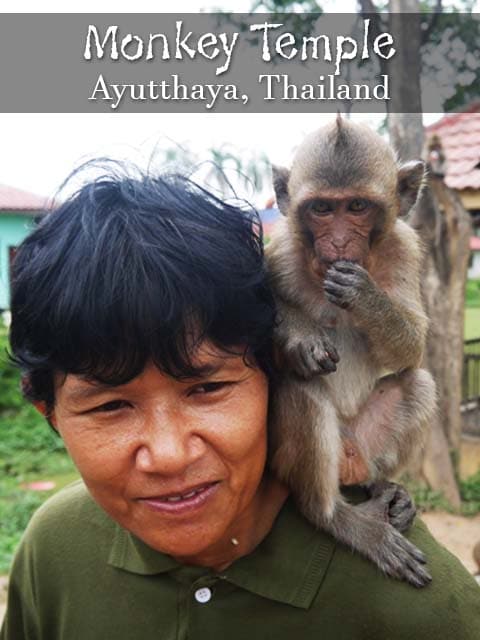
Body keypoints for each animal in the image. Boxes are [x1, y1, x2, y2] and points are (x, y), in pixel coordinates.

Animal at [266, 117, 438, 588]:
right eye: (323, 209)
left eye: (357, 206)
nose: (341, 242)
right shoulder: (280, 246)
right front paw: (303, 338)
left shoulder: (404, 249)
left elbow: (414, 346)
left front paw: (363, 295)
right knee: (304, 387)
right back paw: (335, 517)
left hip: (365, 438)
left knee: (419, 383)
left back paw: (385, 488)